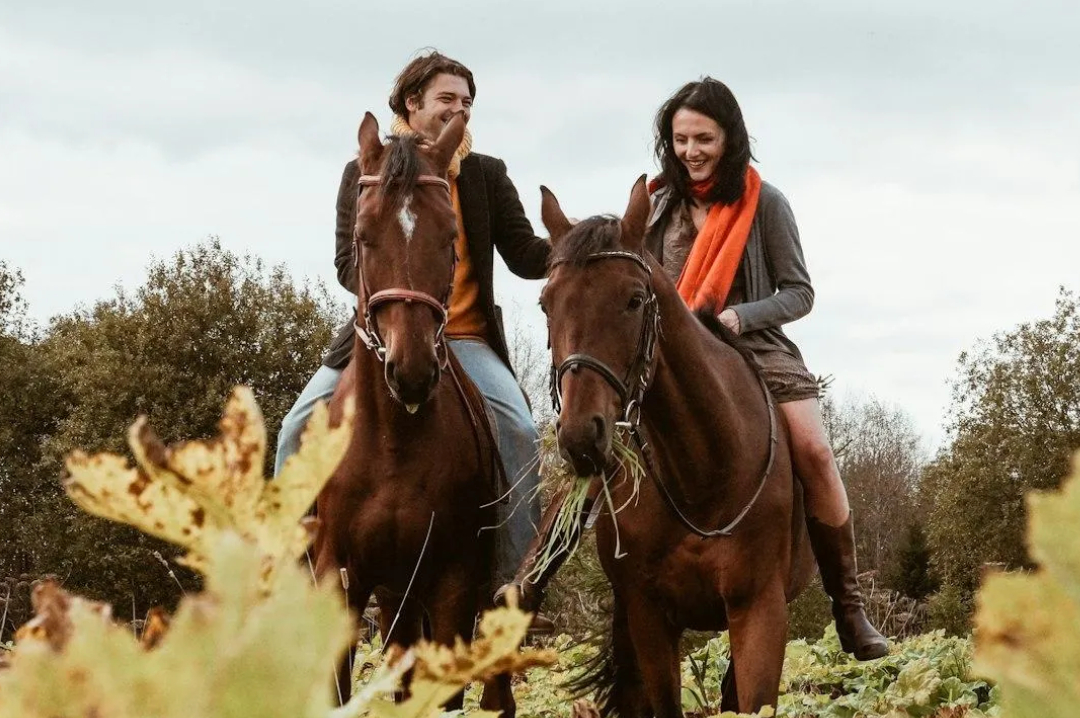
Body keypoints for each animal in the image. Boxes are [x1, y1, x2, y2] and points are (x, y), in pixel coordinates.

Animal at [311, 111, 513, 715]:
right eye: (361, 235)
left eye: (450, 237)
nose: (413, 369)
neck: (393, 441)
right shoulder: (339, 581)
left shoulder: (451, 586)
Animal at [535, 178, 816, 716]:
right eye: (546, 303)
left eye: (634, 300)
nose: (580, 435)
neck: (703, 476)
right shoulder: (648, 617)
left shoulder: (760, 612)